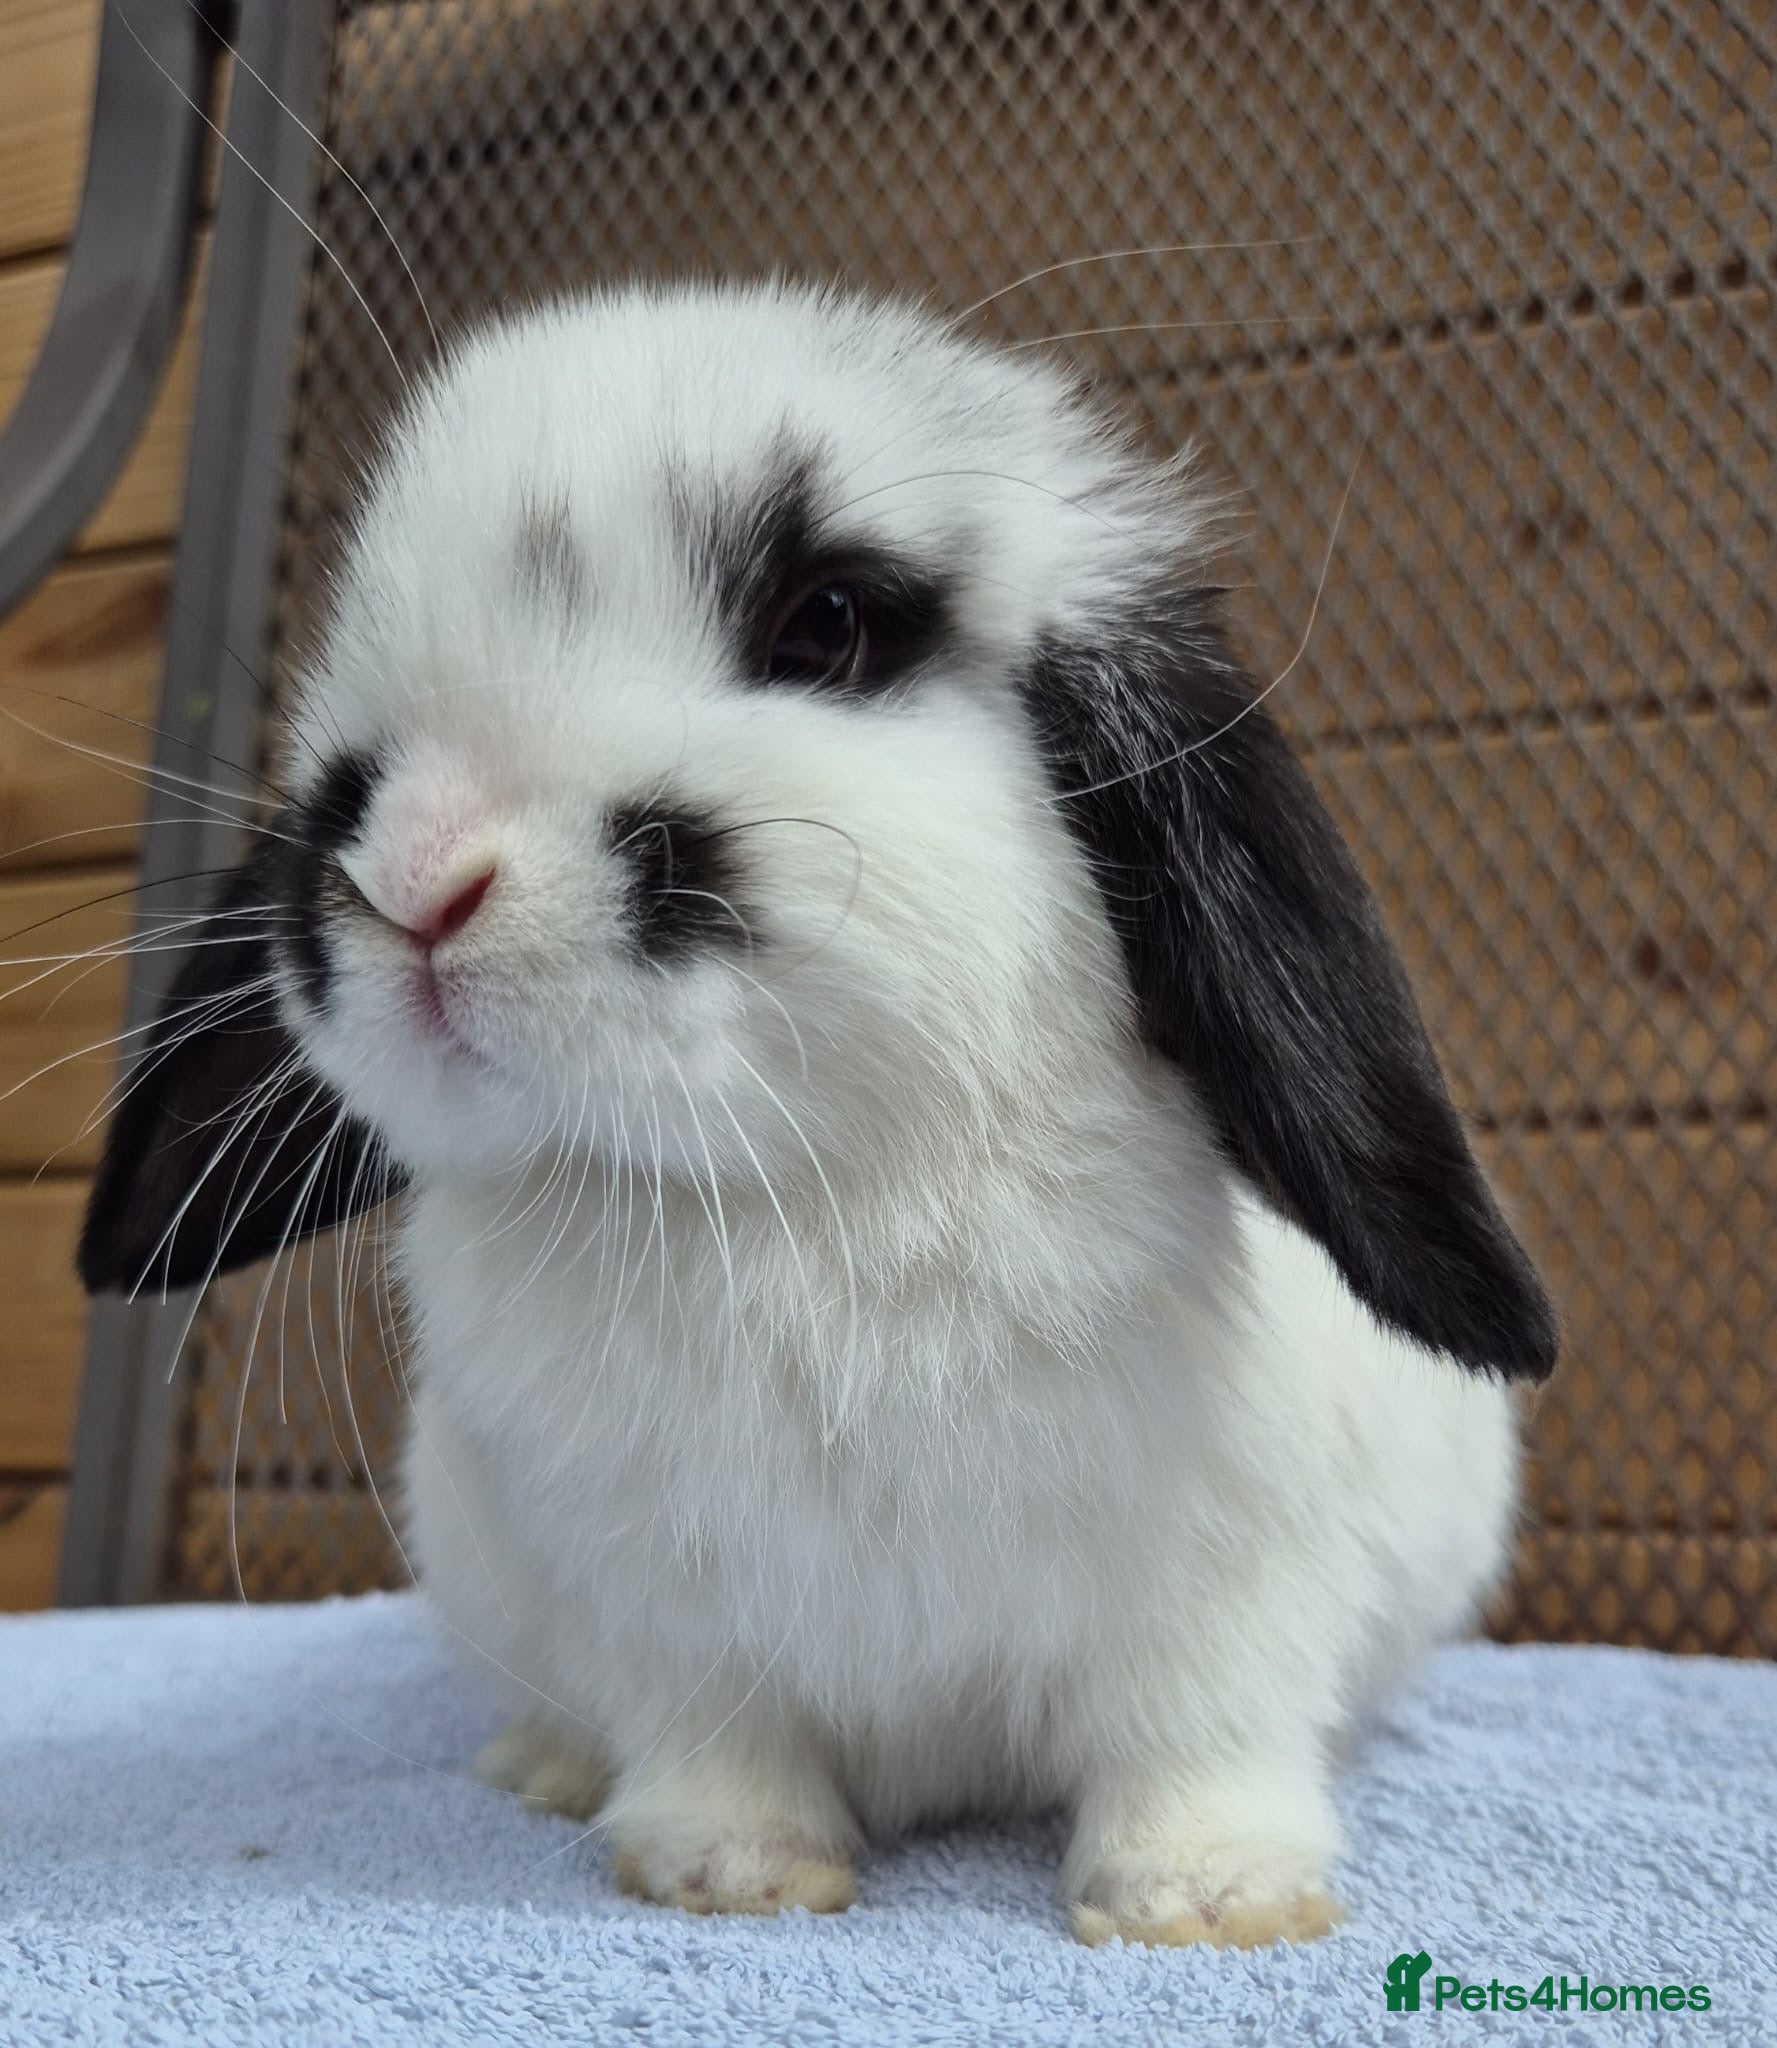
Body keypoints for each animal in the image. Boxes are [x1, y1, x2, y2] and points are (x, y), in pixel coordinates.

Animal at [80, 279, 1557, 1948]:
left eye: (829, 623)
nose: (414, 882)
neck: (795, 1191)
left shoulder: (1228, 1586)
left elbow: (1194, 1734)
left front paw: (1203, 1901)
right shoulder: (672, 1619)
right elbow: (720, 1741)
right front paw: (735, 1876)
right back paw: (544, 1768)